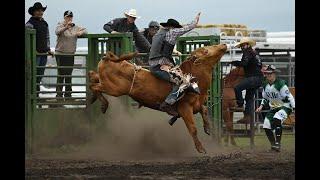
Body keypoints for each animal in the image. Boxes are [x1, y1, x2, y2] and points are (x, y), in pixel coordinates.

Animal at [87, 44, 228, 153]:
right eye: (206, 51)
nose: (224, 45)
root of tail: (107, 58)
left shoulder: (197, 106)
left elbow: (204, 110)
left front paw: (207, 128)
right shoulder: (185, 108)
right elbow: (193, 128)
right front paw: (201, 149)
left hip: (108, 83)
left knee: (93, 77)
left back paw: (95, 99)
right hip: (114, 89)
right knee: (93, 85)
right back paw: (102, 104)